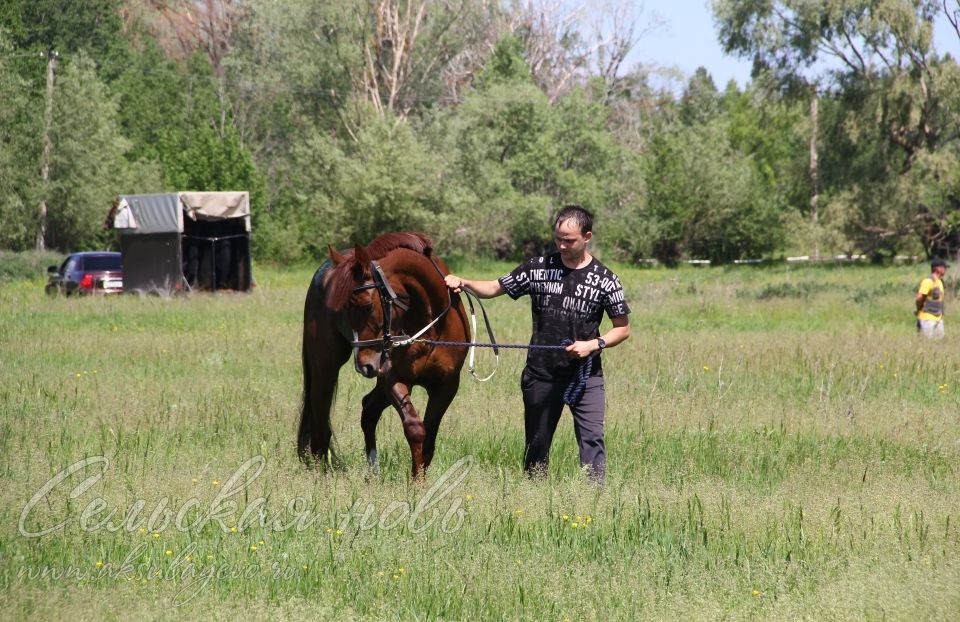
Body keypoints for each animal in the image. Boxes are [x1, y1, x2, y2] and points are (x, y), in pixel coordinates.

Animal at [296, 232, 468, 480]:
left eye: (367, 305)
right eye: (341, 310)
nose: (364, 365)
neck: (429, 321)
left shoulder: (446, 385)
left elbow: (429, 438)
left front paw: (420, 479)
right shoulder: (392, 377)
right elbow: (415, 428)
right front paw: (416, 483)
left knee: (368, 408)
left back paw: (373, 468)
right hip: (325, 365)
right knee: (321, 411)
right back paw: (321, 471)